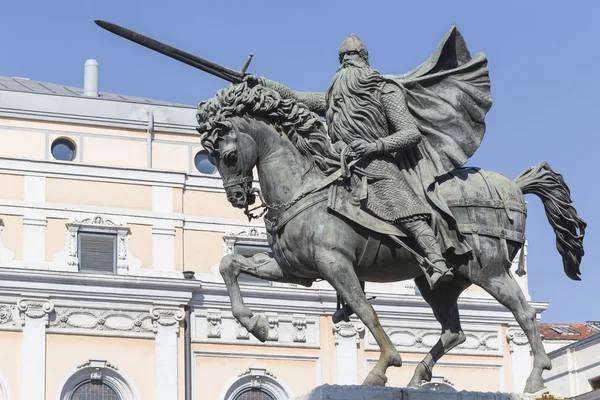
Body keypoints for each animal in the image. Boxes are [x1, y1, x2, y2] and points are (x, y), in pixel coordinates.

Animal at [197, 82, 584, 394]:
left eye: (228, 154)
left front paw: (383, 366)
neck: (304, 188)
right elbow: (230, 264)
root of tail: (513, 186)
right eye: (210, 158)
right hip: (438, 283)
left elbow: (365, 310)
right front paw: (257, 325)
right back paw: (418, 377)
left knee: (525, 314)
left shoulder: (335, 263)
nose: (237, 198)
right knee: (454, 331)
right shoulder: (294, 270)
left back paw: (535, 377)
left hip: (487, 270)